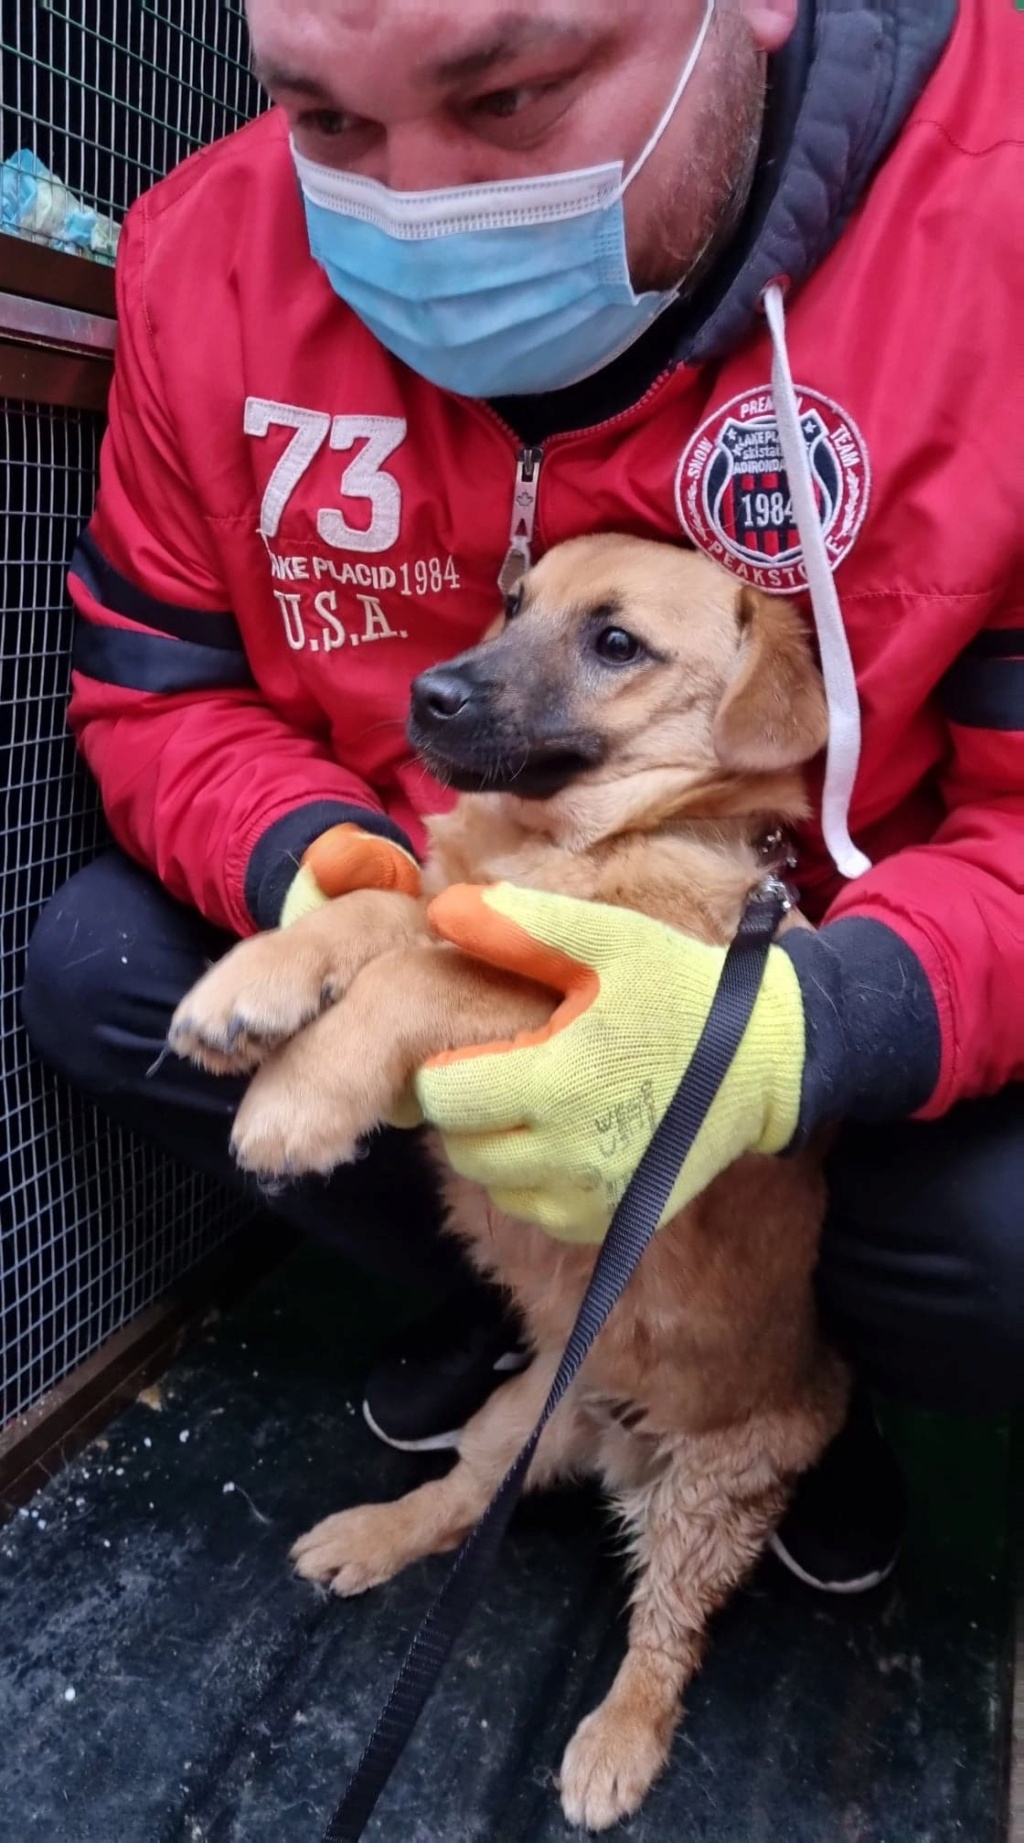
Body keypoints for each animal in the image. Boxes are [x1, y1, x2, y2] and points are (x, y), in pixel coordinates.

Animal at [174, 534, 847, 1828]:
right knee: (458, 1504)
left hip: (709, 1500)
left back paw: (613, 1745)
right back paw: (369, 1534)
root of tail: (616, 1432)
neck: (574, 841)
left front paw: (296, 1098)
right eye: (513, 602)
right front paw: (255, 986)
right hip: (511, 1422)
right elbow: (386, 904)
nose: (427, 695)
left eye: (616, 642)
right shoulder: (463, 911)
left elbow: (419, 968)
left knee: (665, 1635)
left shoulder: (556, 1000)